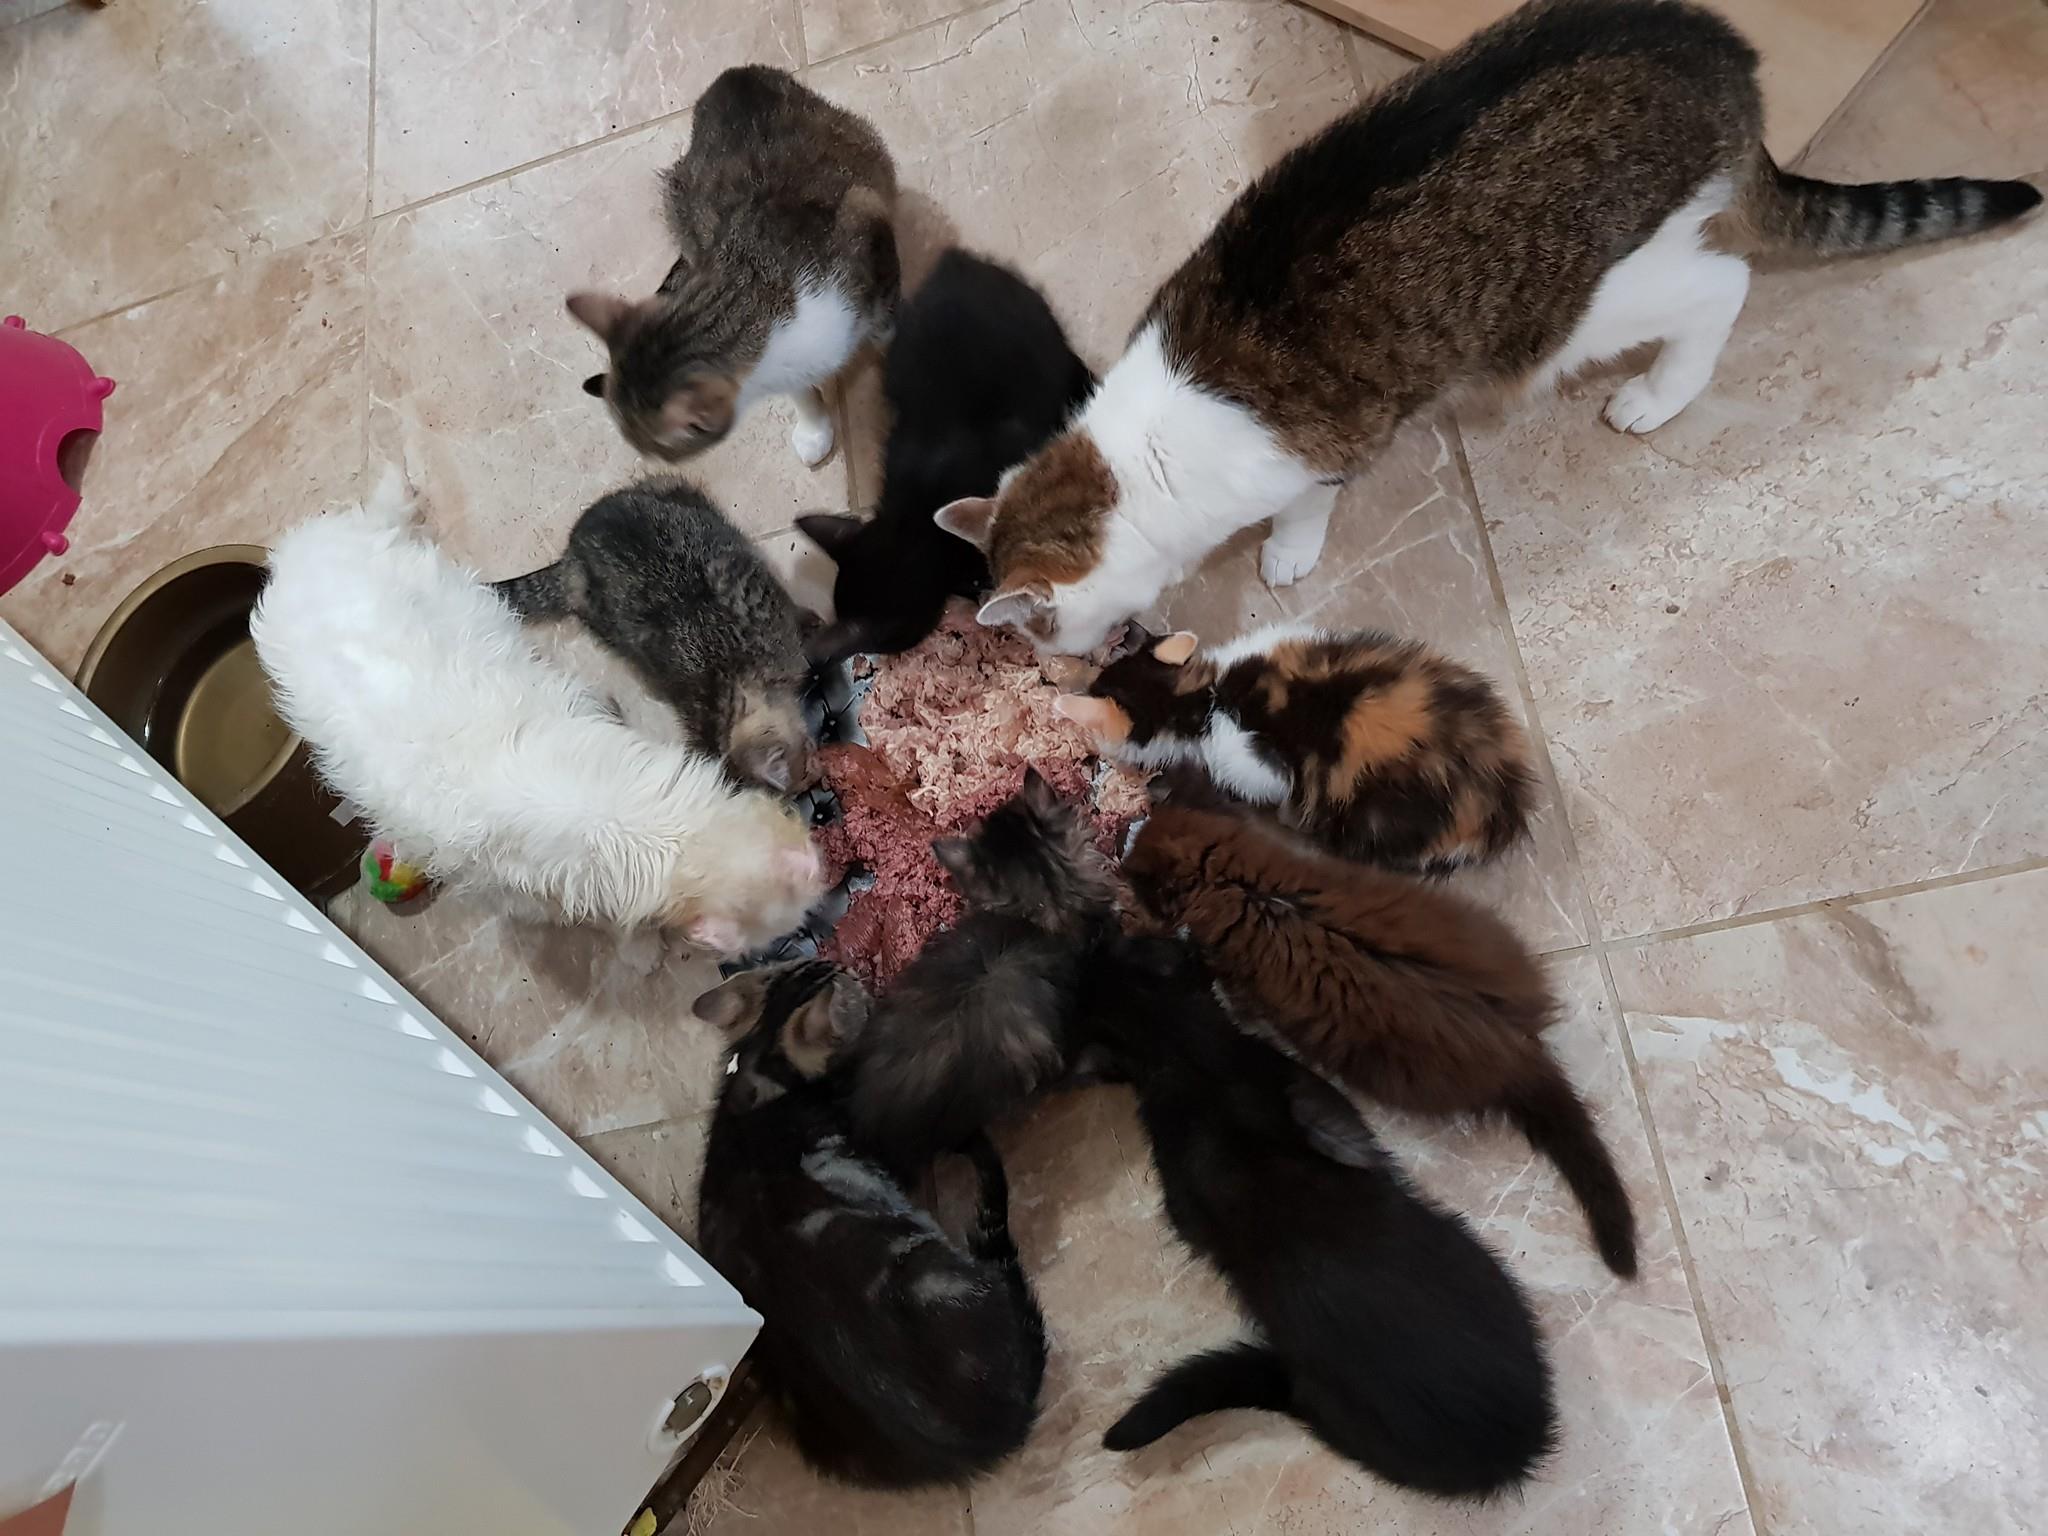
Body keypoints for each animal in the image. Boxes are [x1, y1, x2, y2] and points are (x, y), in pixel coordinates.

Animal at [494, 478, 818, 794]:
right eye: (806, 773)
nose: (812, 781)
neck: (734, 686)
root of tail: (570, 558)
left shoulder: (758, 592)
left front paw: (808, 620)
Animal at [568, 66, 898, 469]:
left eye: (660, 452)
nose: (651, 460)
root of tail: (733, 76)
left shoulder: (867, 224)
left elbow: (885, 323)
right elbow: (799, 388)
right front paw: (813, 429)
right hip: (679, 206)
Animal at [929, 0, 2041, 654]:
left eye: (1035, 637)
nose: (1053, 671)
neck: (1136, 458)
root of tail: (1716, 50)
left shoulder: (1319, 455)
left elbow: (1306, 509)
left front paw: (1287, 555)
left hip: (1570, 311)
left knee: (1721, 283)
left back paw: (1658, 395)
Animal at [1076, 931, 1556, 1495]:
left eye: (1122, 945)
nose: (1184, 933)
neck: (1179, 1054)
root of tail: (1514, 1449)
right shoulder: (1286, 1074)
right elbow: (1341, 1123)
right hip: (1479, 1260)